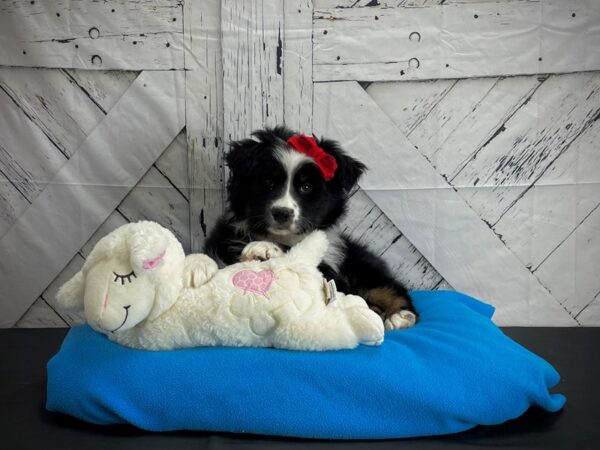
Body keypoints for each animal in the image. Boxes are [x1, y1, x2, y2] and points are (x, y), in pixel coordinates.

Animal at [204, 126, 414, 330]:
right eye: (268, 183)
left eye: (306, 187)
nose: (282, 213)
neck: (281, 237)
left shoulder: (331, 274)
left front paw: (263, 249)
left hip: (363, 268)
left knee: (390, 288)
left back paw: (400, 316)